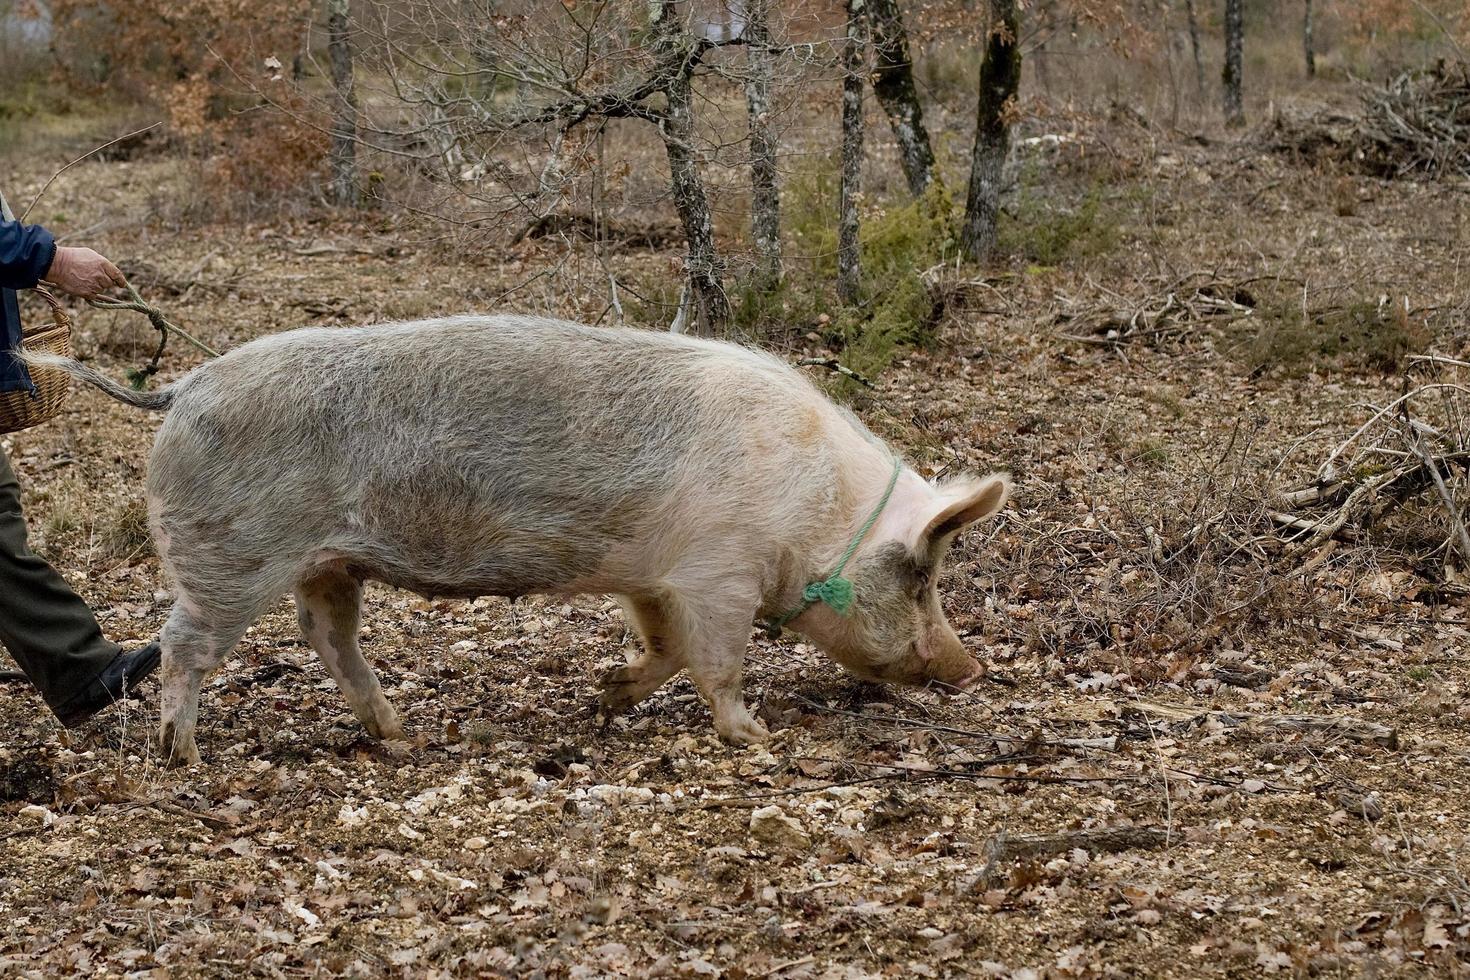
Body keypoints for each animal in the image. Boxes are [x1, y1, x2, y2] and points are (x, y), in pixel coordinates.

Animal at [40, 315, 1017, 764]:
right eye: (922, 575)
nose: (971, 669)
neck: (812, 510)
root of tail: (182, 387)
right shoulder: (720, 574)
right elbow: (719, 661)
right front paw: (755, 735)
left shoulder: (654, 578)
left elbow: (661, 648)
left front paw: (604, 696)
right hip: (231, 555)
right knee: (183, 644)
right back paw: (185, 754)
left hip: (328, 561)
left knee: (325, 635)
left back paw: (400, 734)